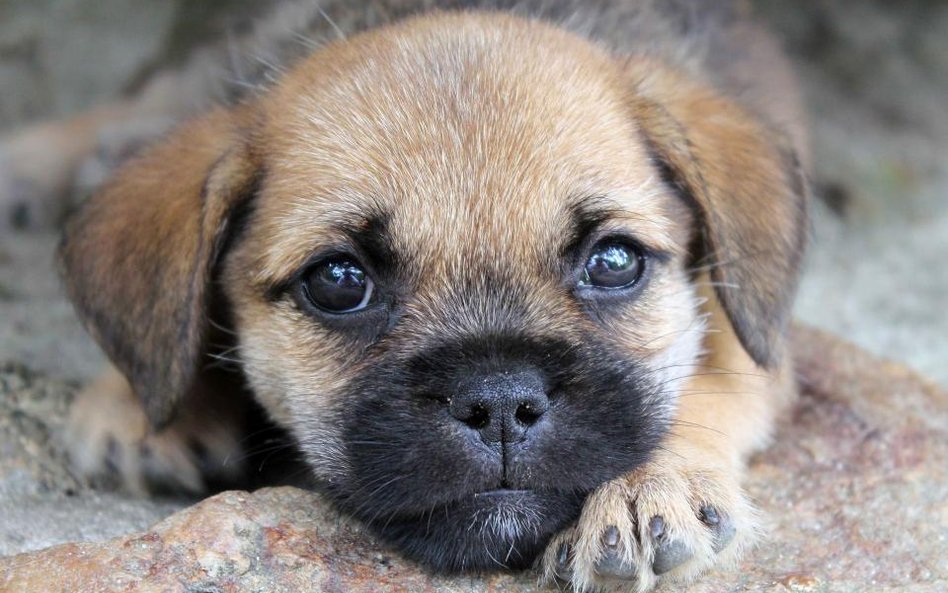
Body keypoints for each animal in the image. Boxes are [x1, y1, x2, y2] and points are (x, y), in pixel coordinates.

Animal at [51, 2, 808, 588]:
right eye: (338, 281)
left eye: (614, 261)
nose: (500, 404)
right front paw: (142, 402)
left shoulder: (753, 339)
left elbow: (710, 381)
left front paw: (649, 487)